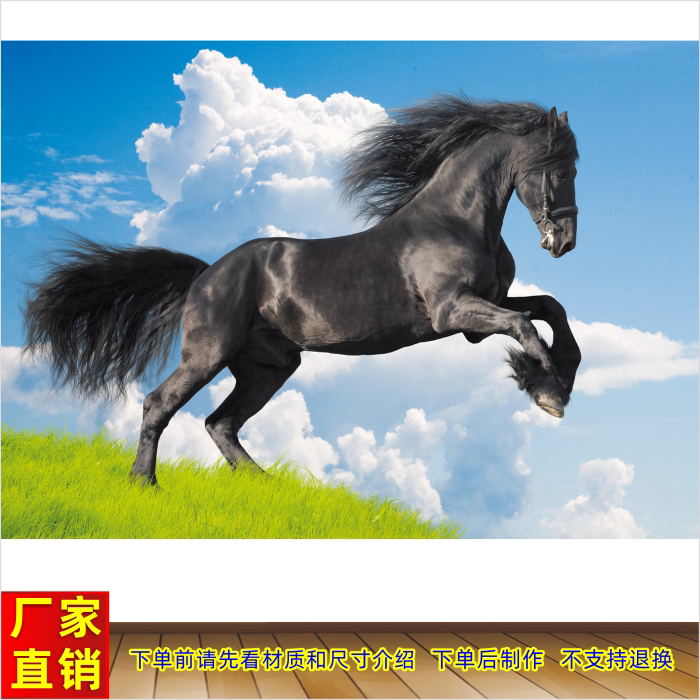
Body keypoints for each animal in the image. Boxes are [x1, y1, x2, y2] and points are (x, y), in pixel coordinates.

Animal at [24, 96, 581, 486]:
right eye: (558, 168)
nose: (565, 242)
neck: (456, 222)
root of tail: (206, 275)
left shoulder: (477, 317)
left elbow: (550, 310)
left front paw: (557, 380)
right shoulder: (453, 313)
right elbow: (526, 324)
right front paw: (548, 391)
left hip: (269, 366)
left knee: (220, 423)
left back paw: (265, 486)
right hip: (209, 353)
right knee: (159, 403)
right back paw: (145, 483)